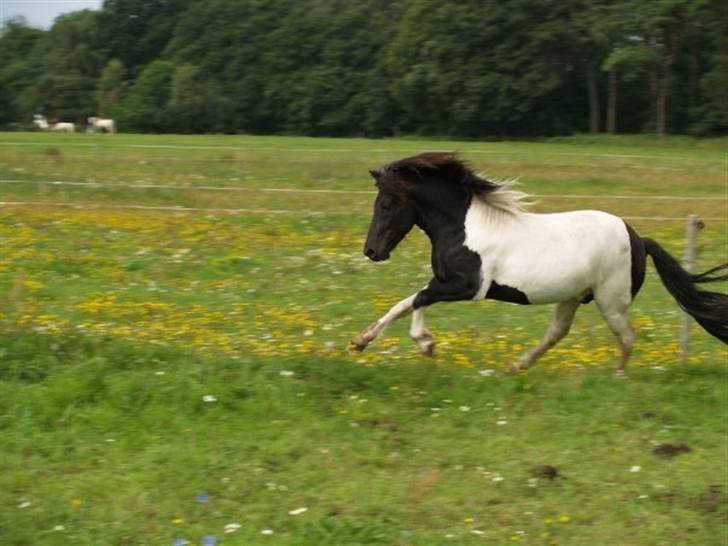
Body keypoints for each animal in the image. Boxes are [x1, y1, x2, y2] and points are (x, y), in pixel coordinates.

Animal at [352, 152, 724, 370]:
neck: (461, 227)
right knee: (557, 333)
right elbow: (404, 302)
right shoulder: (448, 282)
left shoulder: (469, 286)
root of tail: (638, 239)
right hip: (573, 296)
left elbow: (420, 299)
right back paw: (517, 367)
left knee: (626, 337)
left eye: (386, 204)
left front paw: (426, 345)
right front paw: (361, 341)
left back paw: (618, 378)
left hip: (611, 300)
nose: (372, 251)